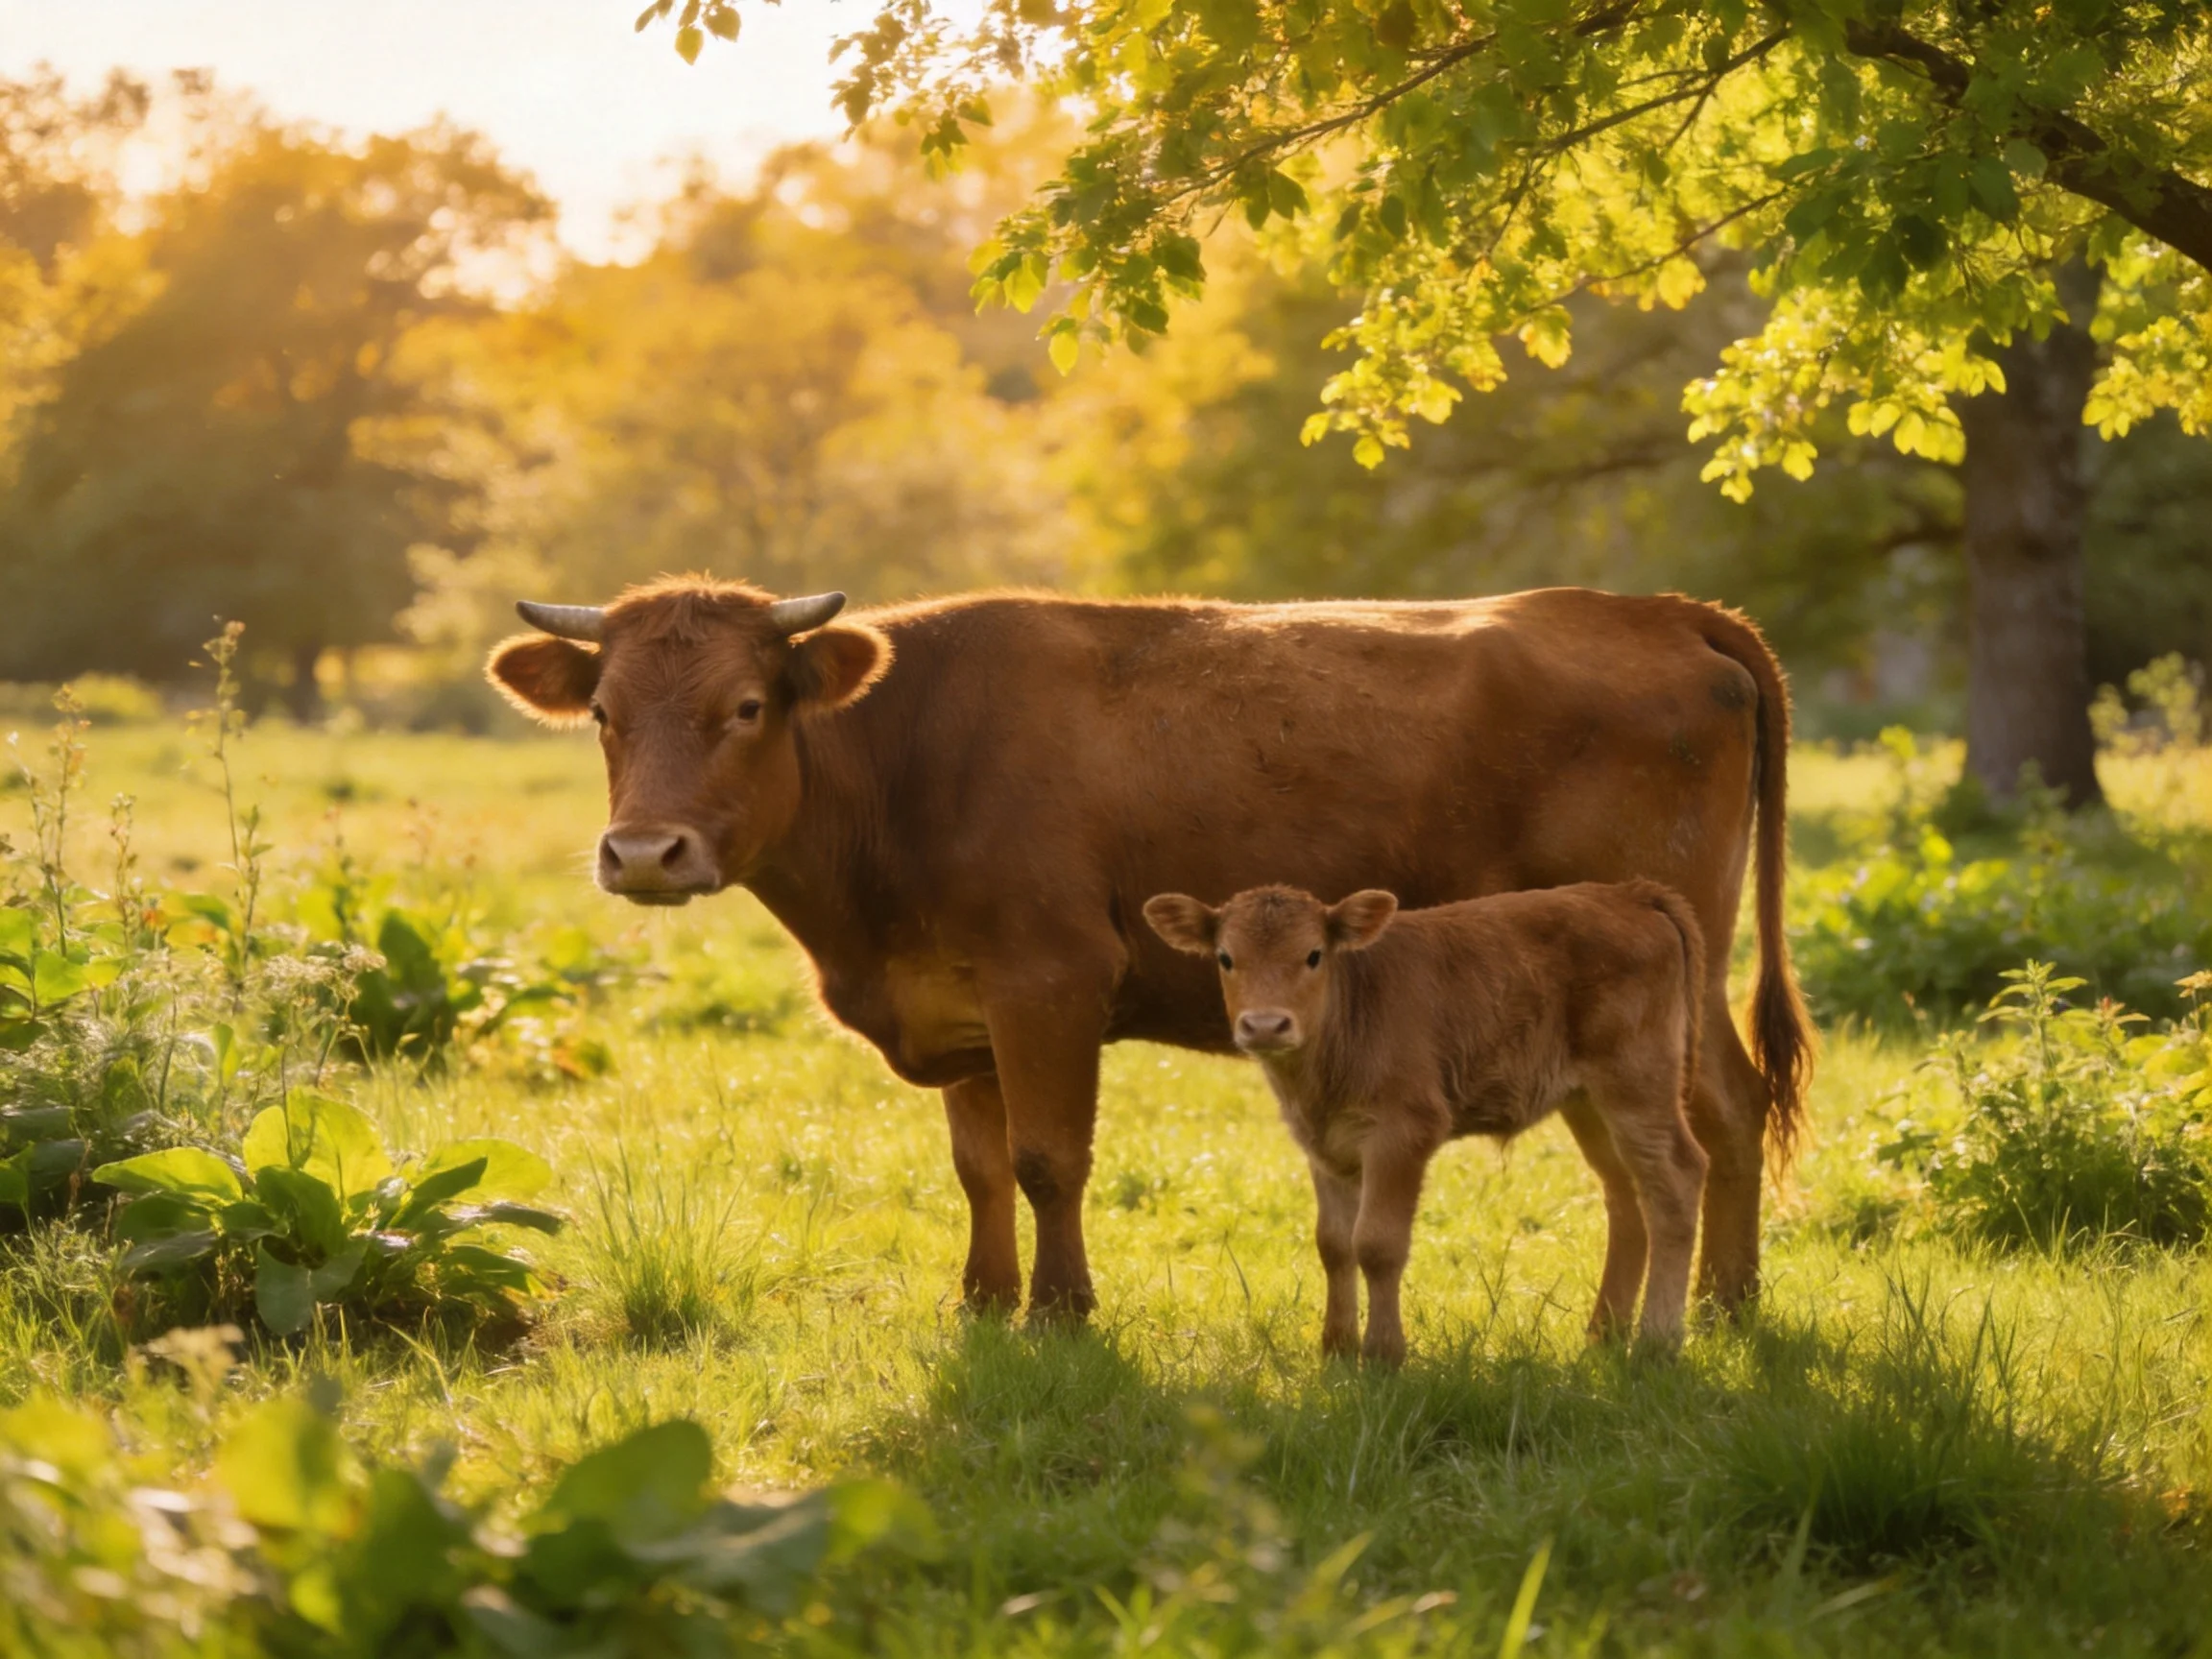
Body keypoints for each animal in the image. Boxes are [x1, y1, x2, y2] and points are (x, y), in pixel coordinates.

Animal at [1143, 880, 1709, 1363]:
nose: (1265, 1025)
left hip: (1637, 1081)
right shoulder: (1323, 1146)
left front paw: (1383, 1354)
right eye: (1225, 958)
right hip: (1587, 1100)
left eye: (1313, 954)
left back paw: (1657, 1341)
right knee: (1625, 1193)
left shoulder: (1403, 1132)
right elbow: (1334, 1244)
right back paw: (1603, 1337)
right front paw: (1336, 1349)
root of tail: (1631, 893)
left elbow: (1377, 1243)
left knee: (1676, 1178)